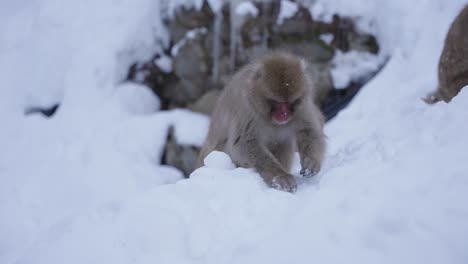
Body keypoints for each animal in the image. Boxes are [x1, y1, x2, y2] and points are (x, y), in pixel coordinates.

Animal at [197, 51, 326, 192]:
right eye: (276, 102)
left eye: (288, 102)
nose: (284, 114)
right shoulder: (246, 108)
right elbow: (243, 143)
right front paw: (280, 177)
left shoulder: (303, 105)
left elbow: (309, 131)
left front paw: (311, 162)